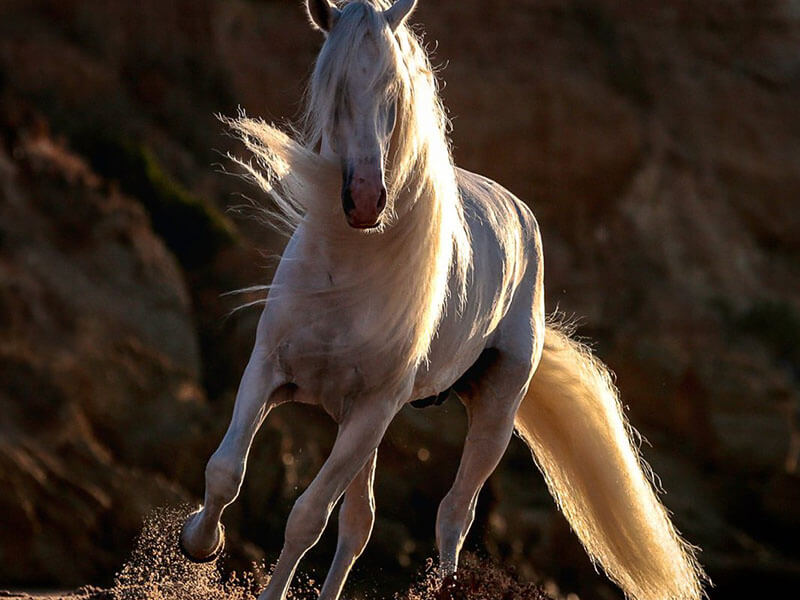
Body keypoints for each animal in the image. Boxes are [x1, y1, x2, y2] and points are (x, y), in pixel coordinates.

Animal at [180, 1, 700, 600]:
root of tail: (524, 217)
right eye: (335, 88)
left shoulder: (373, 410)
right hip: (363, 421)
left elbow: (306, 517)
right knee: (360, 523)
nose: (365, 199)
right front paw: (198, 542)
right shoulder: (270, 372)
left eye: (394, 91)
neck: (347, 271)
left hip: (491, 413)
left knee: (453, 515)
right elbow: (225, 471)